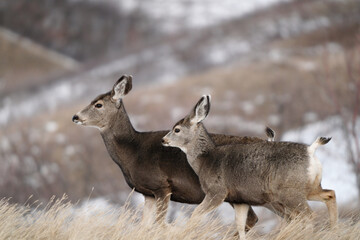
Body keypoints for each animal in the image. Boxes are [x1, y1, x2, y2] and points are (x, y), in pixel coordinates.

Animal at [72, 75, 276, 229]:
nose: (75, 117)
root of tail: (268, 140)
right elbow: (144, 225)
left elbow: (160, 223)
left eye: (98, 104)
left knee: (253, 219)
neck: (132, 152)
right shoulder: (147, 193)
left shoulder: (161, 185)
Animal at [162, 95, 338, 238]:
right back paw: (333, 231)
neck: (204, 160)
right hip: (308, 188)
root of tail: (310, 151)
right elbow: (241, 225)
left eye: (176, 129)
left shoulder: (217, 191)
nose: (163, 140)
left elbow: (196, 214)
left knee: (309, 216)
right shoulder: (240, 199)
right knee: (330, 194)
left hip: (290, 192)